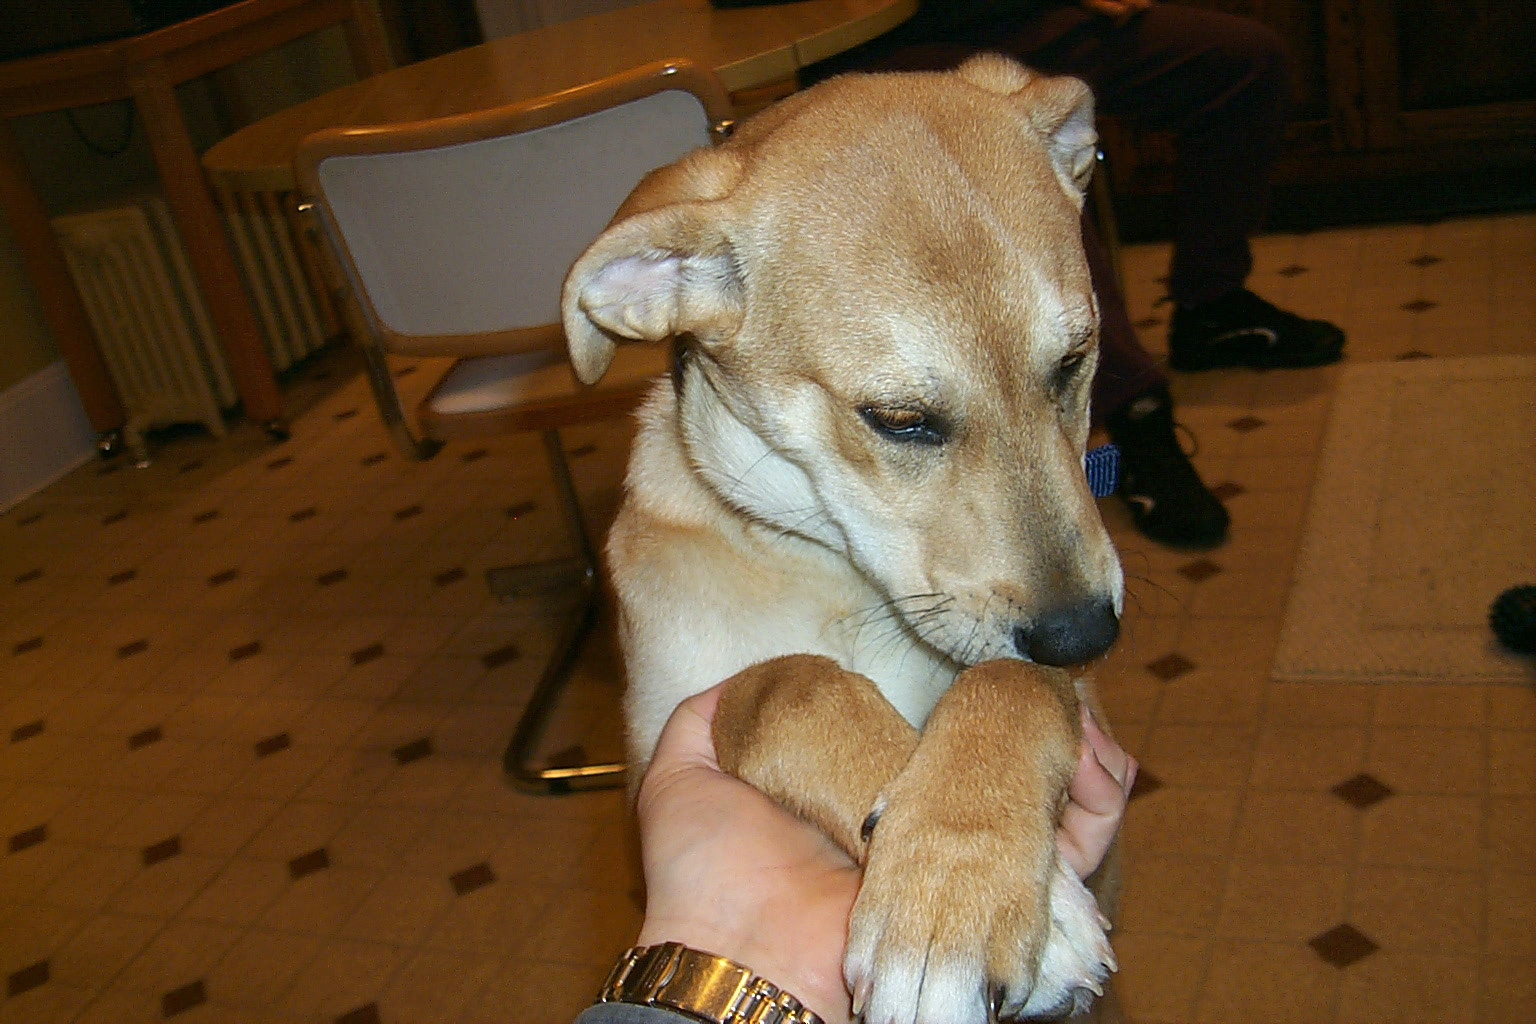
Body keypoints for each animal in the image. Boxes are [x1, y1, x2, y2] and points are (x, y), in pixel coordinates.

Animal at [562, 54, 1125, 1022]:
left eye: (1074, 362)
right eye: (900, 420)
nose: (1087, 636)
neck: (850, 594)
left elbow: (1010, 686)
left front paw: (956, 880)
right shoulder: (657, 758)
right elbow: (785, 683)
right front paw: (1024, 913)